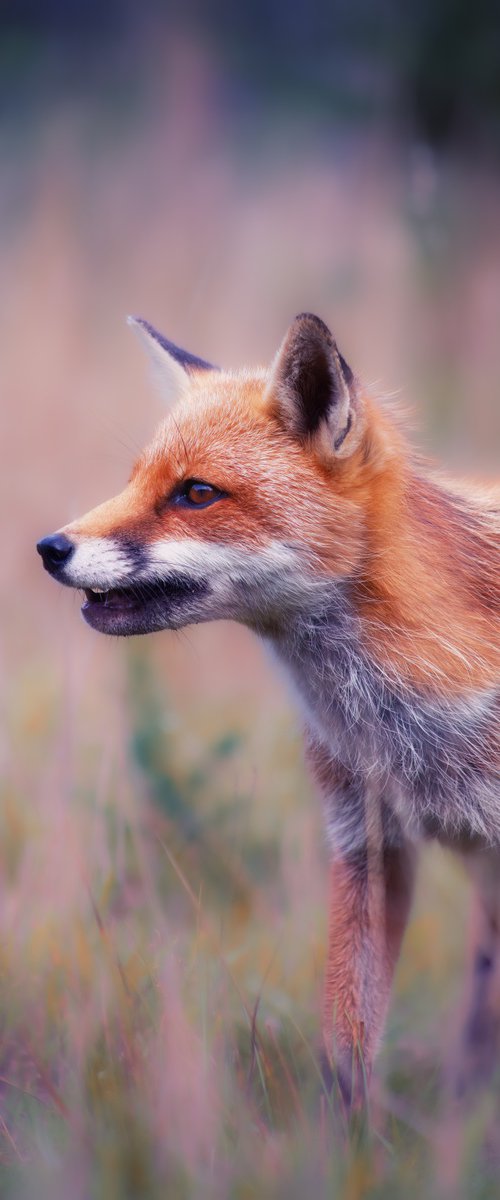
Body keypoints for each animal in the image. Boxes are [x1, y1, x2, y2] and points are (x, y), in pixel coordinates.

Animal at [38, 312, 498, 1104]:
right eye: (134, 481)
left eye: (196, 493)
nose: (49, 547)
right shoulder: (365, 839)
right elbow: (346, 1044)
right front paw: (349, 1139)